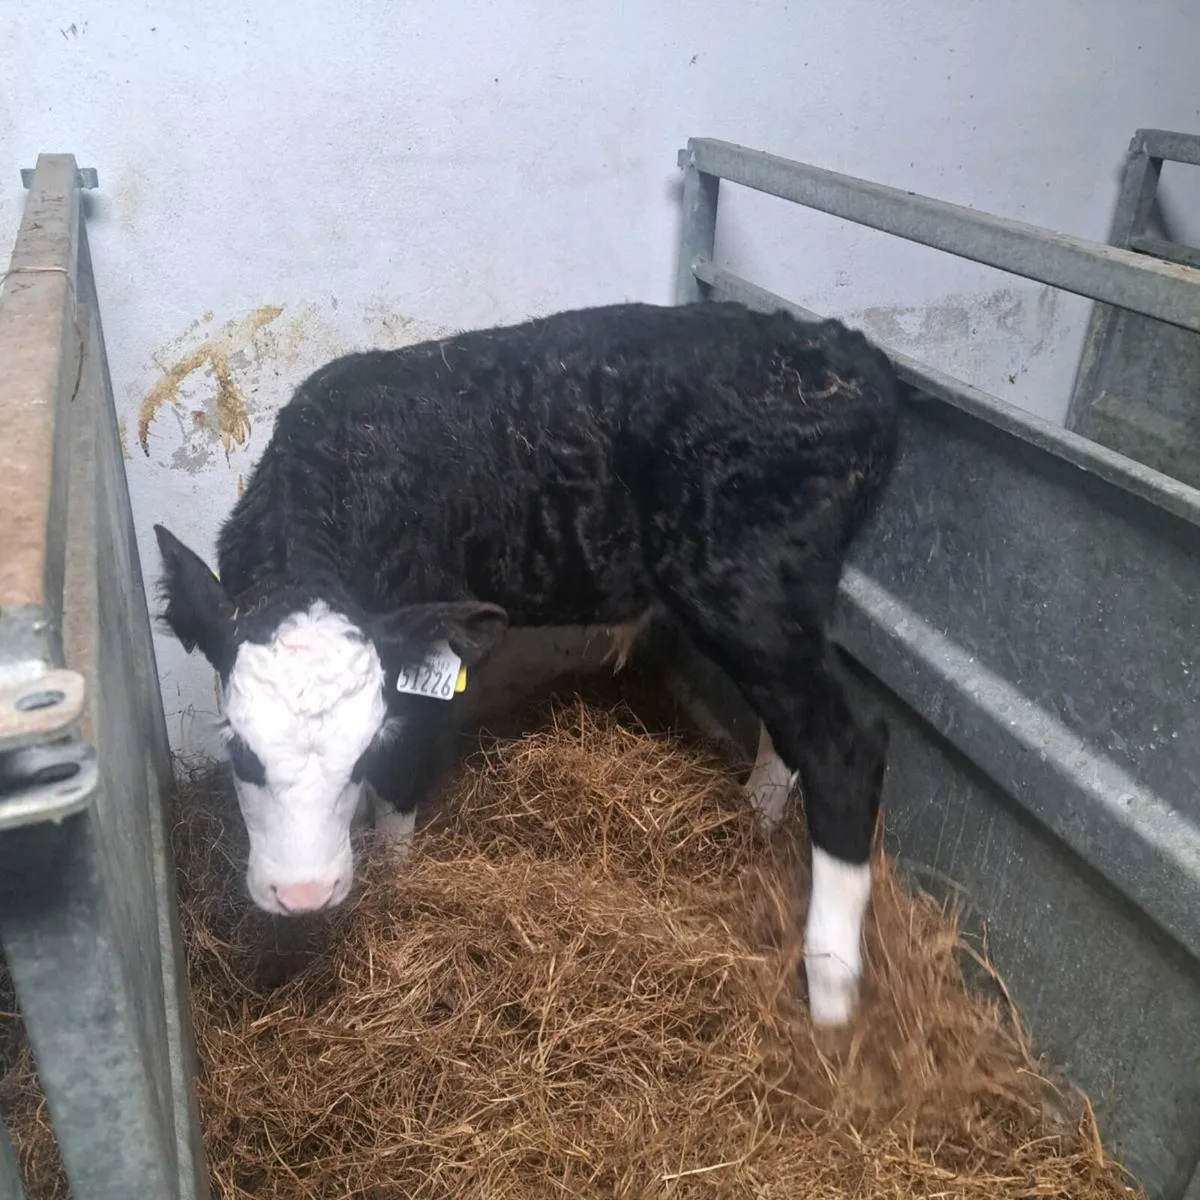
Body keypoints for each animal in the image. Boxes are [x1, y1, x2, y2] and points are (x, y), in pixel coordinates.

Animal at [154, 299, 900, 1027]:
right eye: (238, 750)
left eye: (367, 750)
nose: (304, 892)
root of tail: (846, 354)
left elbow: (398, 804)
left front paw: (391, 895)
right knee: (794, 722)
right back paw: (757, 814)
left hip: (743, 586)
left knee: (846, 737)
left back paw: (831, 984)